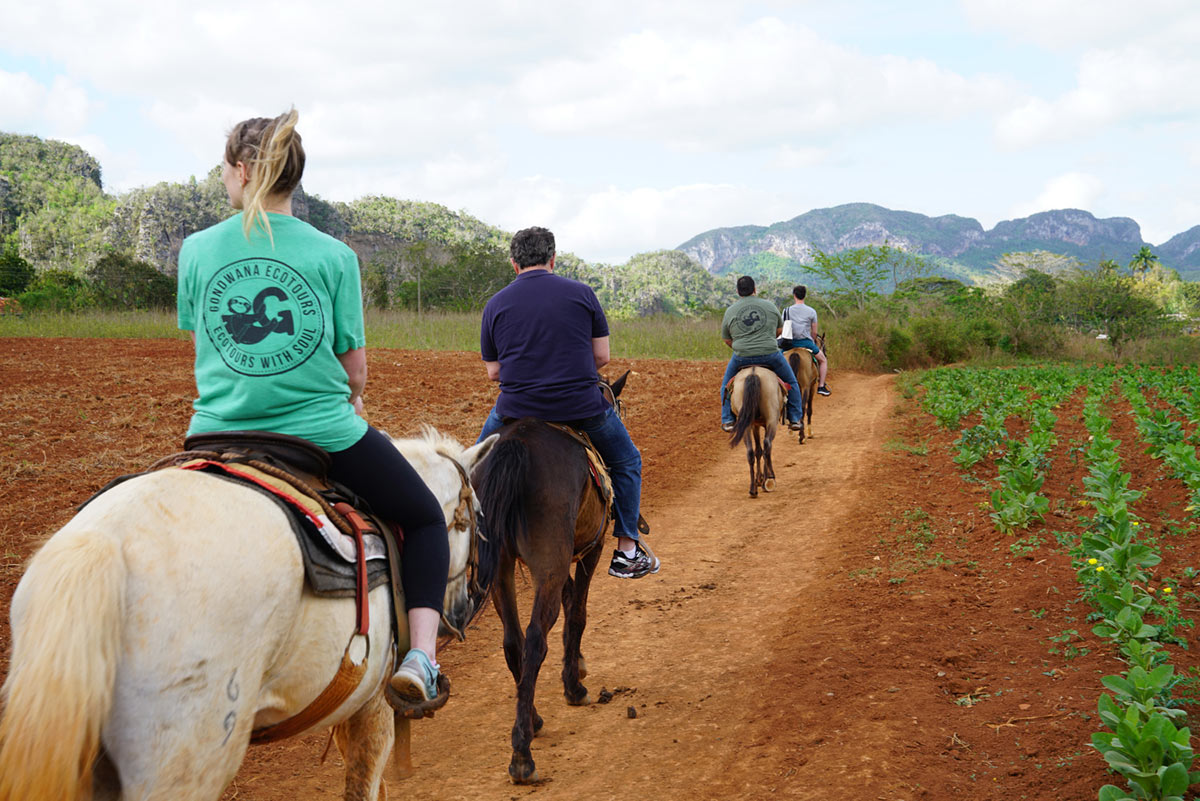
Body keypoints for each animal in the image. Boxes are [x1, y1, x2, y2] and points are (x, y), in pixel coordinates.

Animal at [470, 371, 638, 786]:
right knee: (534, 639)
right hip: (550, 560)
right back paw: (522, 755)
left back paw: (532, 721)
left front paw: (576, 664)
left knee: (513, 640)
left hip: (503, 568)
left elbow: (569, 601)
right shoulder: (590, 549)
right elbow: (577, 613)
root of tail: (516, 445)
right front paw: (574, 683)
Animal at [720, 366, 787, 496]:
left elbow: (757, 451)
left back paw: (753, 489)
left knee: (750, 451)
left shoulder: (754, 425)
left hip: (746, 424)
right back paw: (768, 480)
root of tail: (753, 372)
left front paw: (758, 479)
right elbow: (763, 450)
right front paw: (764, 478)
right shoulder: (762, 424)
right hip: (772, 419)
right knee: (767, 445)